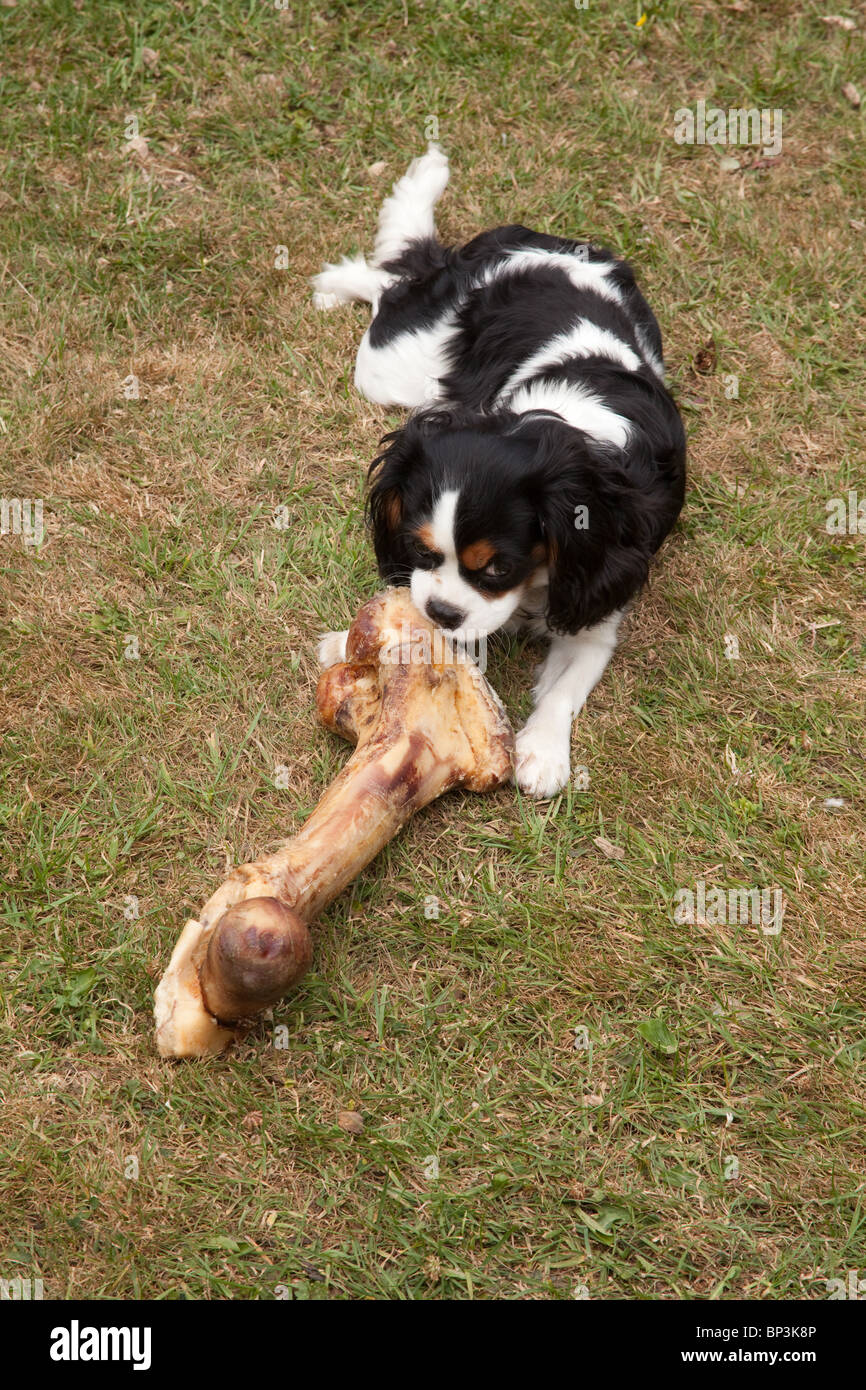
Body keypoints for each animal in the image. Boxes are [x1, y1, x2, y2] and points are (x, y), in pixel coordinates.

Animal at [311, 142, 683, 800]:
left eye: (497, 570)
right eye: (420, 552)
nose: (440, 612)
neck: (563, 431)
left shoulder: (602, 588)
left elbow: (564, 685)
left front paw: (543, 752)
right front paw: (347, 645)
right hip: (391, 368)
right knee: (393, 284)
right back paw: (341, 282)